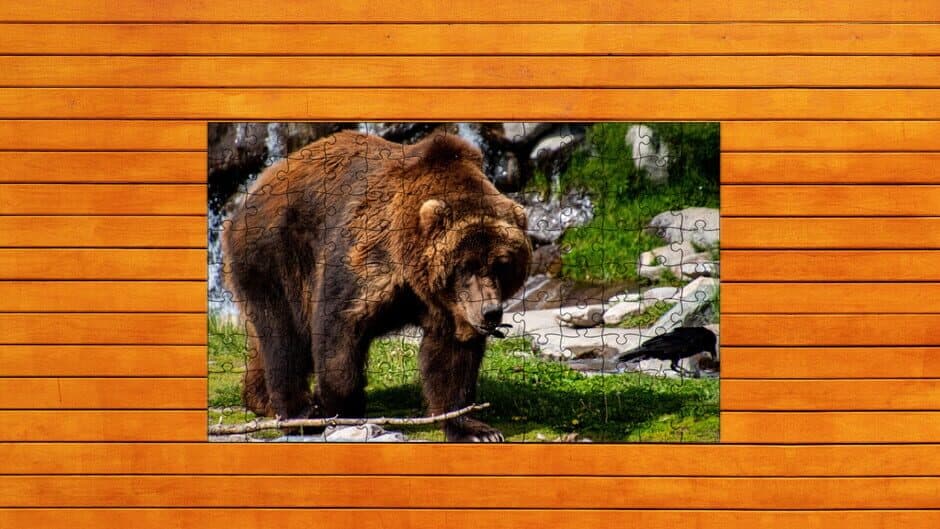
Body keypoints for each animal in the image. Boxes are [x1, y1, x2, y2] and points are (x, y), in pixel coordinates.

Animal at [222, 130, 532, 442]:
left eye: (502, 264)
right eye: (465, 266)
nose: (490, 311)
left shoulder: (449, 306)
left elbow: (451, 358)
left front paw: (474, 428)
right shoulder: (367, 258)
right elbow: (339, 330)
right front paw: (342, 409)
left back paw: (260, 398)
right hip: (274, 255)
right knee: (284, 334)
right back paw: (300, 412)